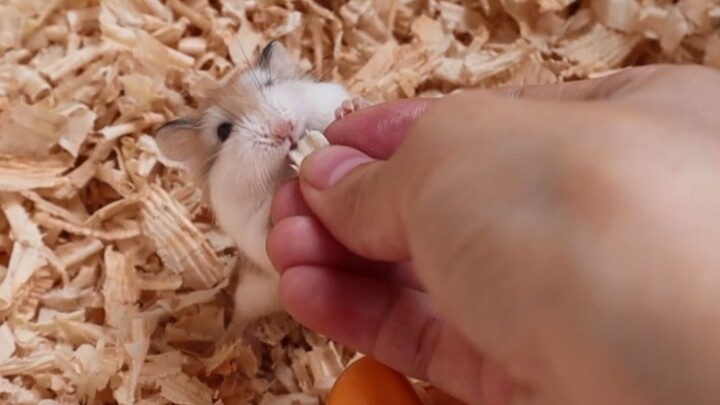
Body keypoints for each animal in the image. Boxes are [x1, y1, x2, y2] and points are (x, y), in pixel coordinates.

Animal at [154, 41, 366, 327]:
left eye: (268, 83)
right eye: (223, 131)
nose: (283, 129)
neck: (281, 172)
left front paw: (351, 107)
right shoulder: (252, 229)